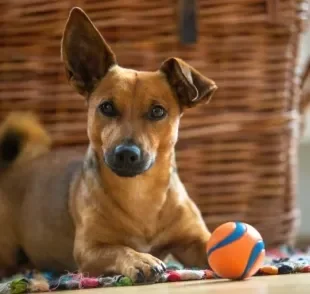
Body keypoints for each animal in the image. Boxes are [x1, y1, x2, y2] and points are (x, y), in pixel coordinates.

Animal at [0, 6, 218, 282]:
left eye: (158, 111)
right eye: (106, 107)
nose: (126, 153)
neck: (140, 193)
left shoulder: (194, 240)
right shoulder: (89, 250)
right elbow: (119, 248)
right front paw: (140, 259)